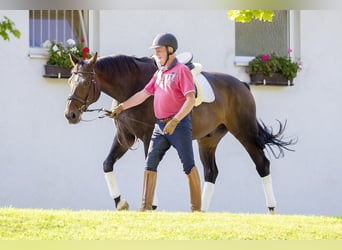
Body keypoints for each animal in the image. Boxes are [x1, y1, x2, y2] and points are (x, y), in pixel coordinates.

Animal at [65, 51, 296, 214]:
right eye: (69, 81)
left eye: (85, 82)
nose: (70, 115)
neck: (132, 87)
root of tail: (242, 84)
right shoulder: (125, 137)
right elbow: (108, 164)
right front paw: (120, 202)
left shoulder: (148, 137)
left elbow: (149, 165)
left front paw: (151, 206)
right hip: (208, 140)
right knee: (211, 172)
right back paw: (201, 211)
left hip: (244, 132)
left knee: (262, 164)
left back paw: (271, 210)